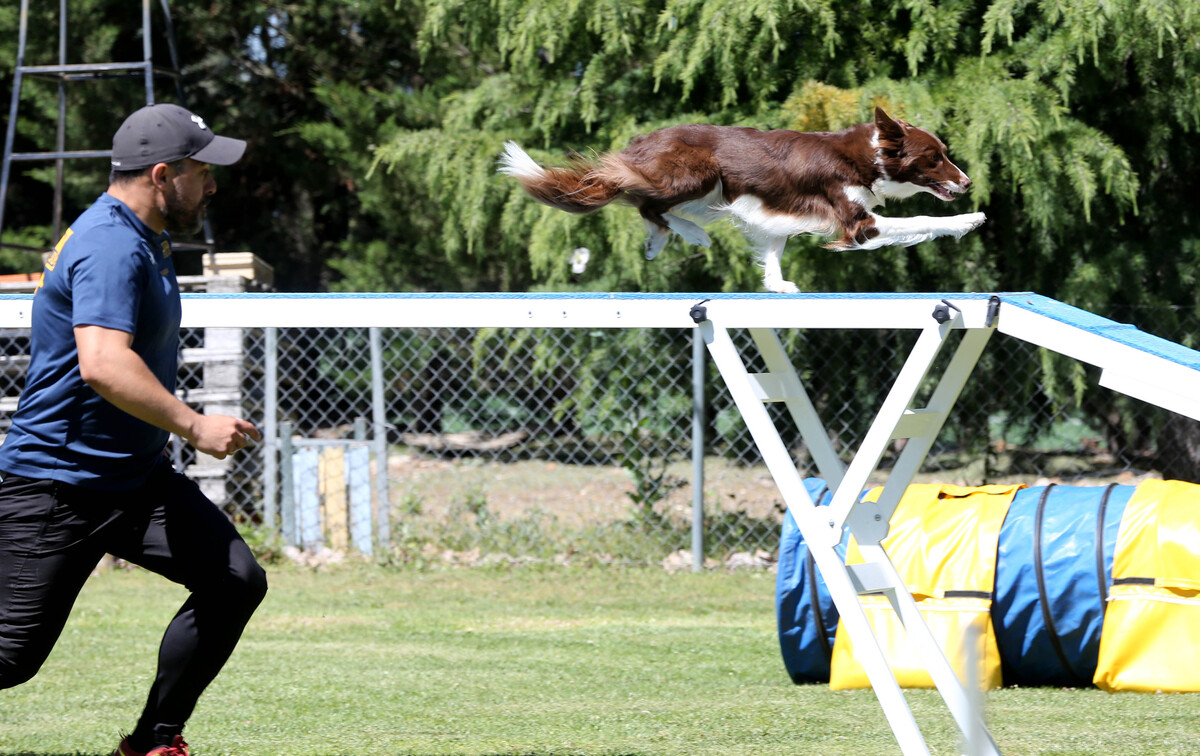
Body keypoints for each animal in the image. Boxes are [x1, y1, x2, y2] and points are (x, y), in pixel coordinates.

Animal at [496, 108, 984, 291]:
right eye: (934, 158)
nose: (967, 183)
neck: (865, 157)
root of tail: (640, 141)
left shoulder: (776, 210)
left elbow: (772, 250)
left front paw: (778, 286)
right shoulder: (861, 225)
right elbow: (921, 220)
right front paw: (969, 220)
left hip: (710, 188)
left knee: (646, 208)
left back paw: (660, 241)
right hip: (696, 176)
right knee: (646, 202)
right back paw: (691, 236)